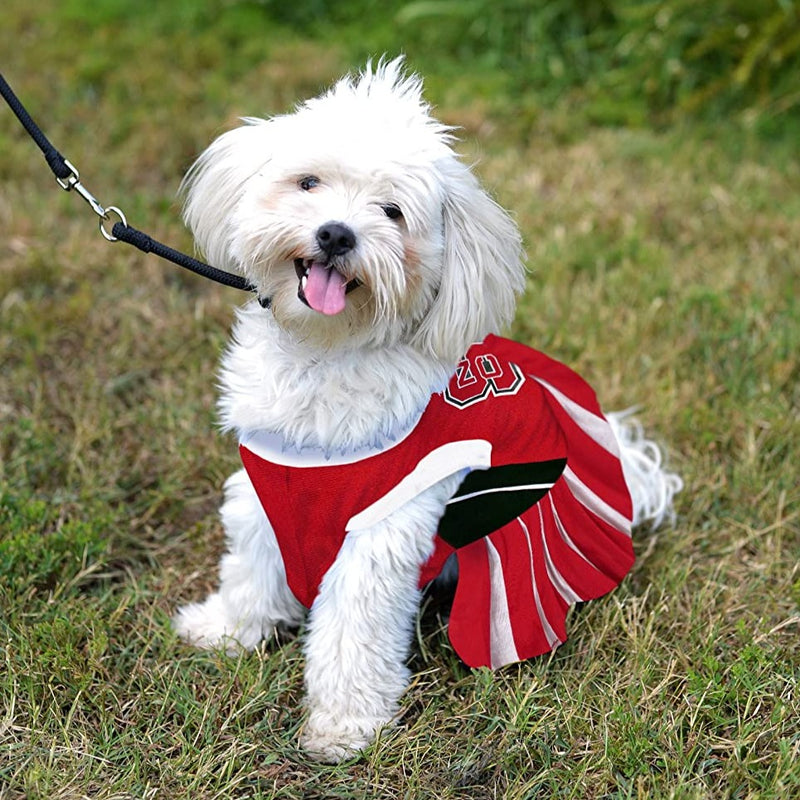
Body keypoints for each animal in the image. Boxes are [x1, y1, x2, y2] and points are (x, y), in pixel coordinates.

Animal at [175, 57, 680, 764]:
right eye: (309, 182)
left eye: (392, 211)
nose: (336, 234)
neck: (327, 352)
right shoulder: (264, 488)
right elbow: (250, 566)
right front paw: (227, 628)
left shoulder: (381, 530)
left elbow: (352, 632)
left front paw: (342, 726)